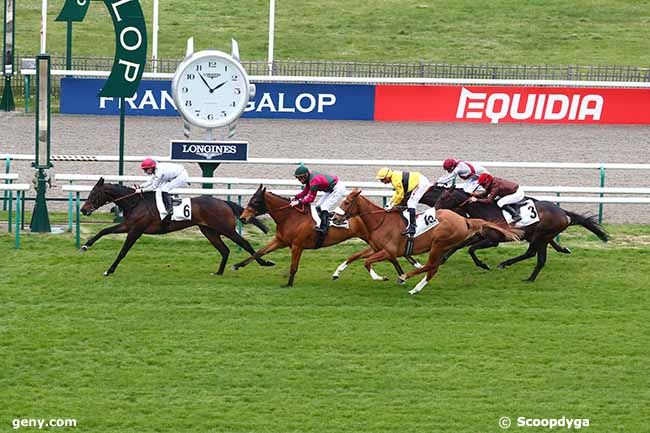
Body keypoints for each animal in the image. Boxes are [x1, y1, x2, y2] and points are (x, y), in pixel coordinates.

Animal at [79, 177, 272, 276]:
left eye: (94, 193)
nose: (83, 209)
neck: (135, 202)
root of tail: (224, 202)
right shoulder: (128, 225)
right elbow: (103, 230)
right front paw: (85, 246)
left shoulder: (136, 230)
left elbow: (123, 251)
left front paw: (109, 270)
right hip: (209, 231)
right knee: (224, 250)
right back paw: (218, 272)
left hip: (226, 229)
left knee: (244, 243)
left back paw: (264, 262)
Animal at [230, 184, 408, 286]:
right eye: (250, 200)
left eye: (255, 201)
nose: (243, 218)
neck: (290, 216)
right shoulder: (280, 241)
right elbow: (259, 252)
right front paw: (238, 265)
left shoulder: (297, 246)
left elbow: (293, 266)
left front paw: (288, 284)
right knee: (387, 257)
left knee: (391, 256)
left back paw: (402, 276)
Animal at [332, 189, 520, 294]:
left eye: (346, 202)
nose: (335, 217)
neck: (381, 221)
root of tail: (464, 220)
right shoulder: (376, 248)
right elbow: (355, 256)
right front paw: (337, 273)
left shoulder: (389, 251)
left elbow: (367, 263)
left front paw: (379, 277)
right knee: (432, 268)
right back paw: (414, 286)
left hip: (439, 244)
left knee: (431, 267)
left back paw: (407, 280)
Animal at [430, 185, 608, 280]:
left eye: (444, 197)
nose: (435, 210)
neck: (485, 211)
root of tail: (563, 213)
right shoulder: (481, 235)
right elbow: (463, 245)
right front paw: (444, 258)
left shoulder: (493, 240)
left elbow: (471, 249)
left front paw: (483, 264)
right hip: (538, 236)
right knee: (536, 255)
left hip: (540, 235)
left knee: (532, 254)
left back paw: (512, 267)